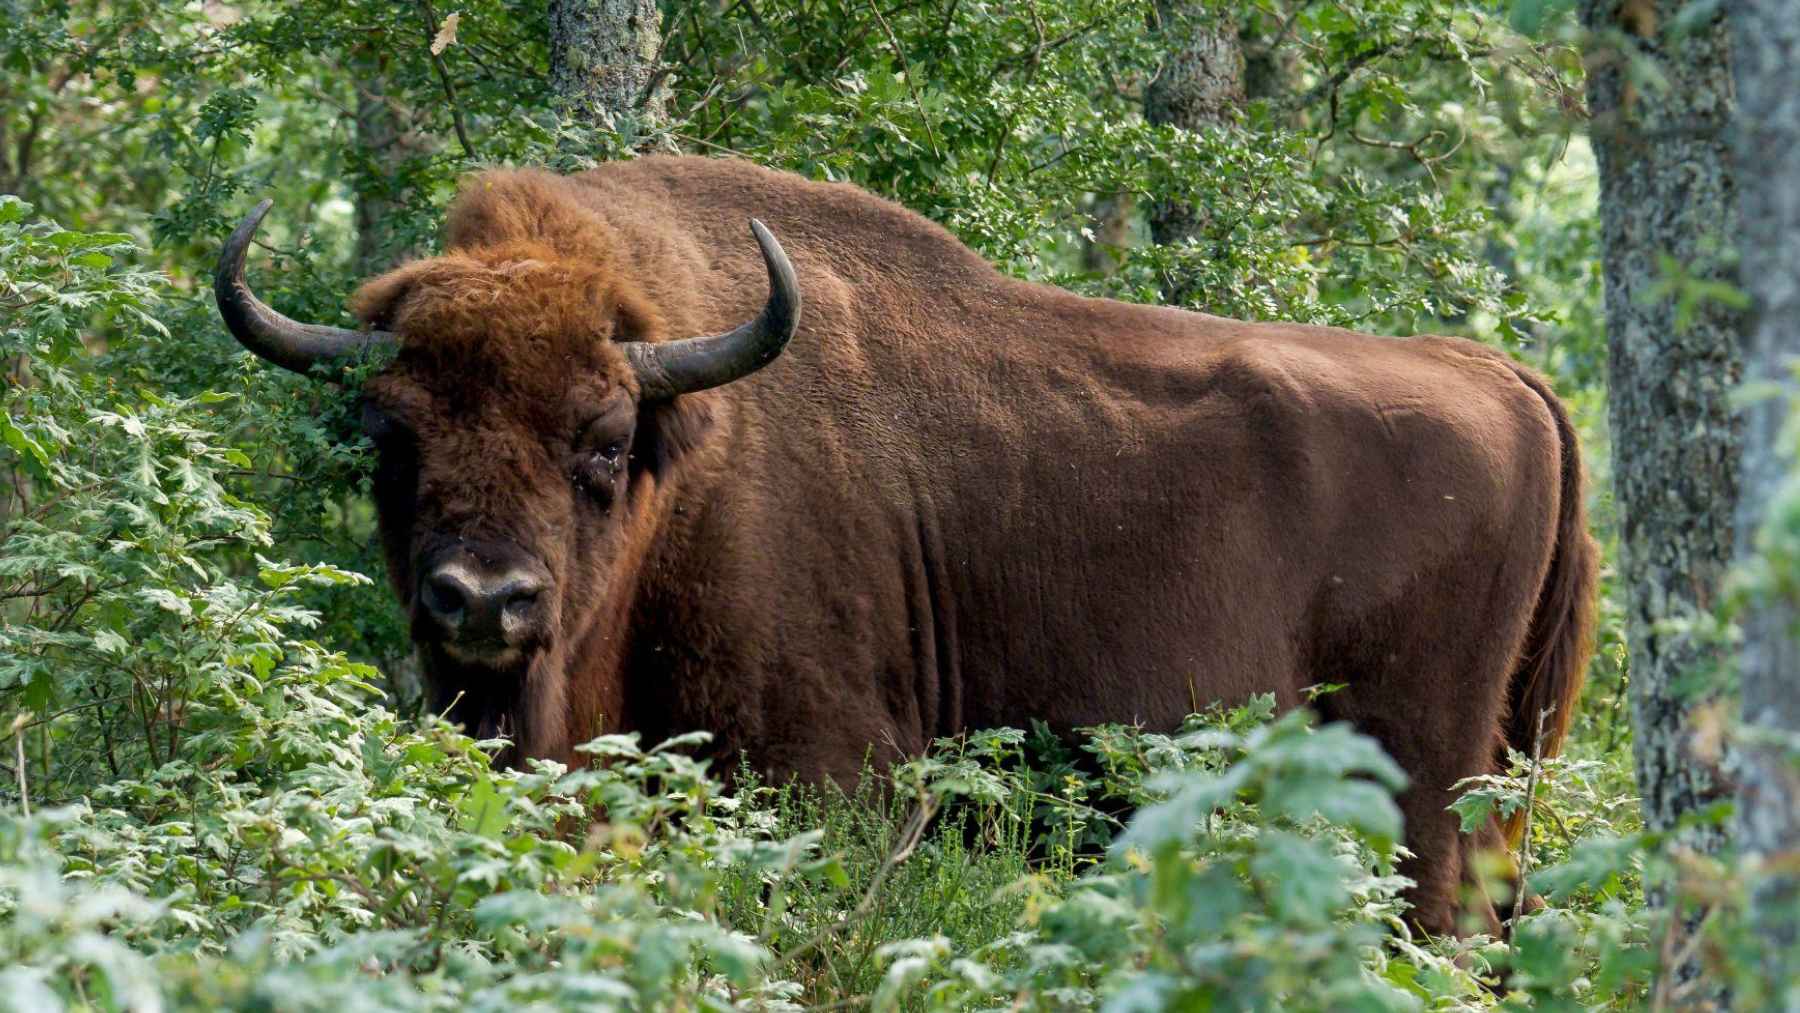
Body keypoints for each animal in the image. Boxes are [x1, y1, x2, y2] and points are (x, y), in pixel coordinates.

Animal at [214, 156, 1596, 935]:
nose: (482, 601)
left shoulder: (831, 774)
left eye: (602, 439)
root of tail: (1503, 376)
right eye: (391, 430)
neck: (695, 454)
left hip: (1423, 778)